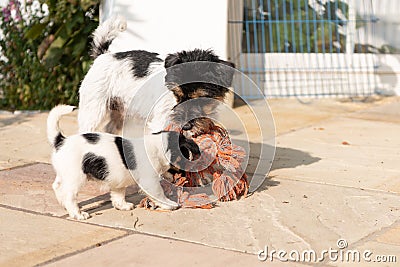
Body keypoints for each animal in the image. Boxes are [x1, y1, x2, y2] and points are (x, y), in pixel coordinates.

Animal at [47, 105, 200, 221]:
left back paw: (63, 204)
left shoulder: (117, 181)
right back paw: (78, 214)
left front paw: (122, 206)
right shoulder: (150, 181)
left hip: (64, 174)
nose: (184, 177)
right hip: (76, 178)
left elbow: (118, 195)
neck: (157, 147)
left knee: (57, 186)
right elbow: (159, 194)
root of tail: (61, 140)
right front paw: (169, 204)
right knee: (69, 196)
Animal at [77, 15, 236, 137]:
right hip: (93, 112)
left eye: (202, 98)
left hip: (118, 113)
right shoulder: (160, 123)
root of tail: (102, 56)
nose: (185, 126)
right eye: (177, 94)